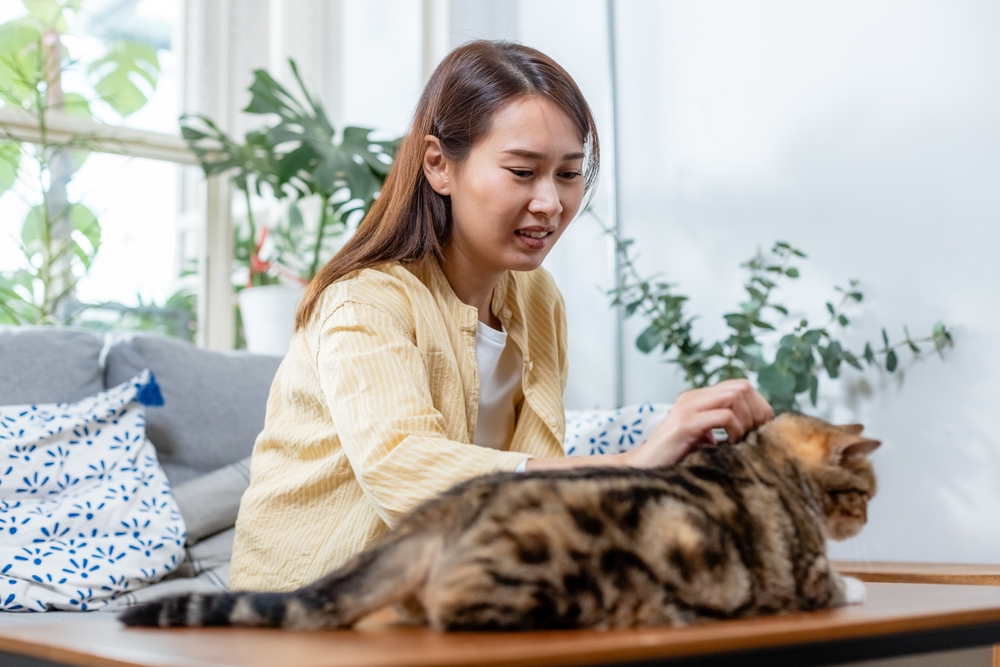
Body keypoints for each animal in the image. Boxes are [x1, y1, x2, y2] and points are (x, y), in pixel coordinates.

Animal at [121, 412, 880, 632]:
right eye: (864, 492)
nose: (868, 517)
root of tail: (448, 509)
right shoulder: (808, 577)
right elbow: (840, 583)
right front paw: (861, 580)